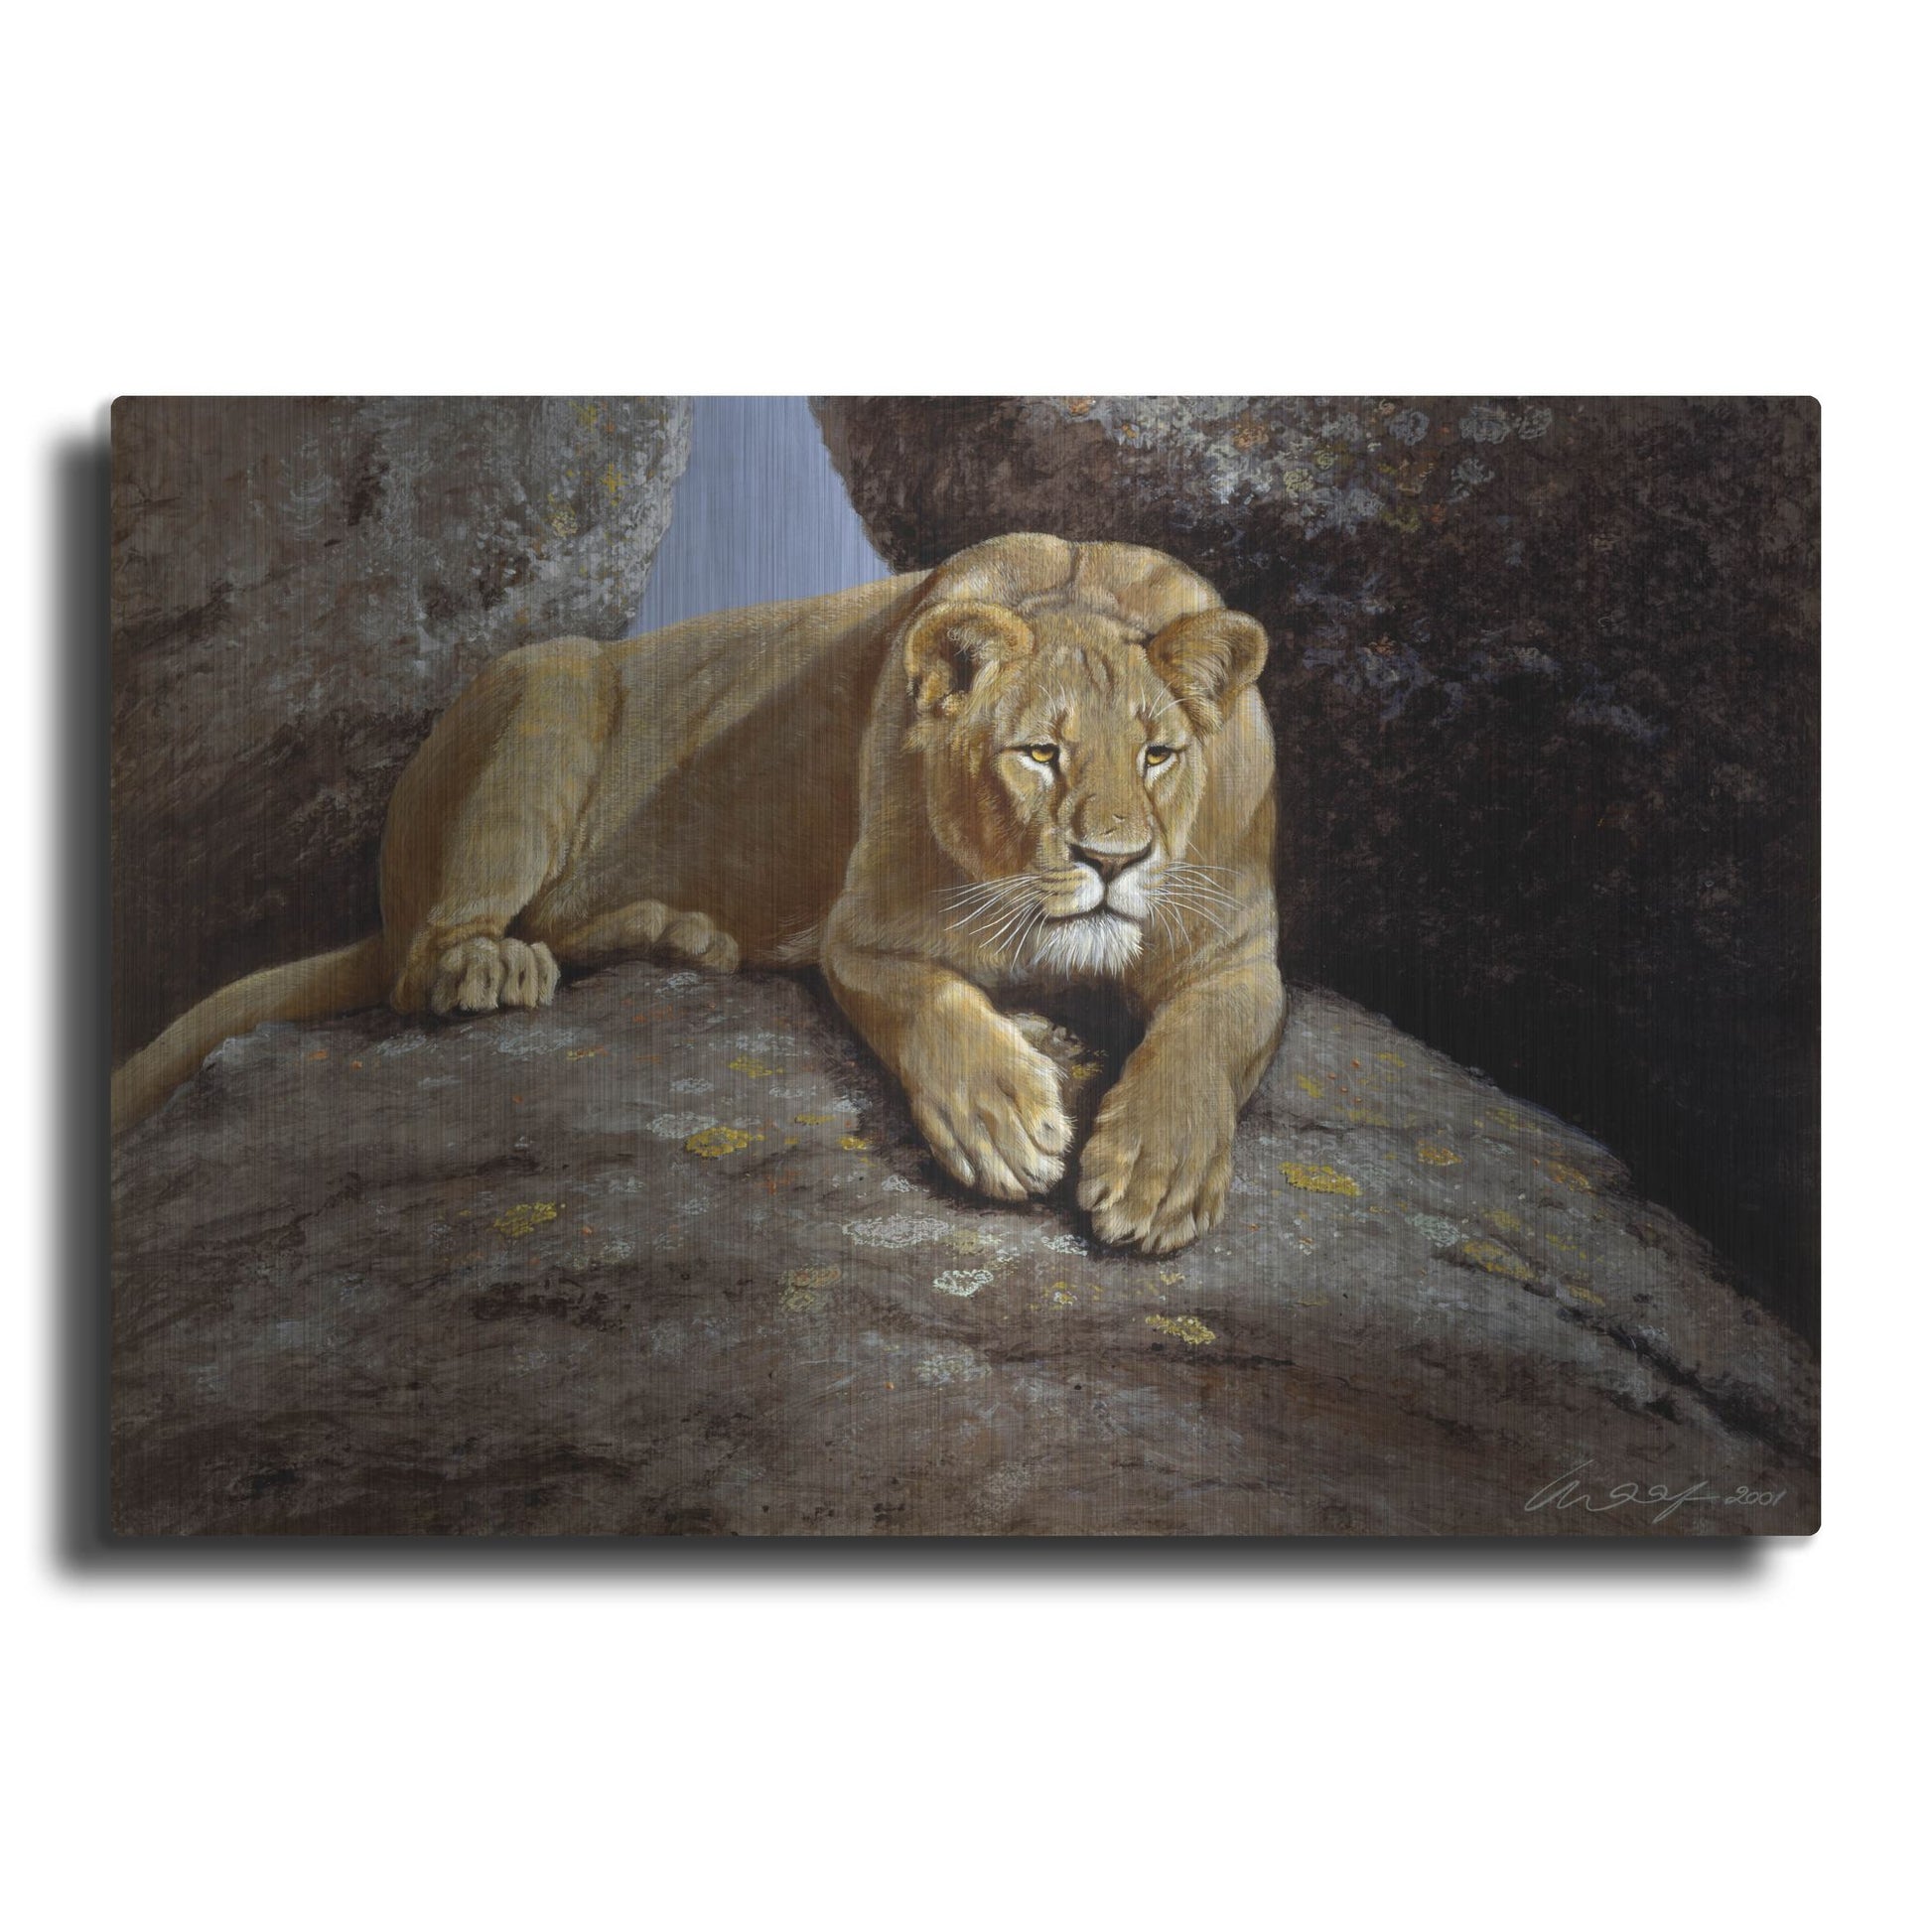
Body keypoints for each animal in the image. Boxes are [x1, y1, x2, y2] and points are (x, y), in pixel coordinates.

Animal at [113, 532, 1285, 1254]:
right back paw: (500, 962)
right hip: (551, 683)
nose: (1113, 859)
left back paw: (677, 933)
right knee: (420, 965)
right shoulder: (862, 933)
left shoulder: (1240, 954)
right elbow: (929, 1005)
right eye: (1040, 754)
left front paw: (1157, 1175)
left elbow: (1204, 1040)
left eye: (1160, 755)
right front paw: (1001, 1119)